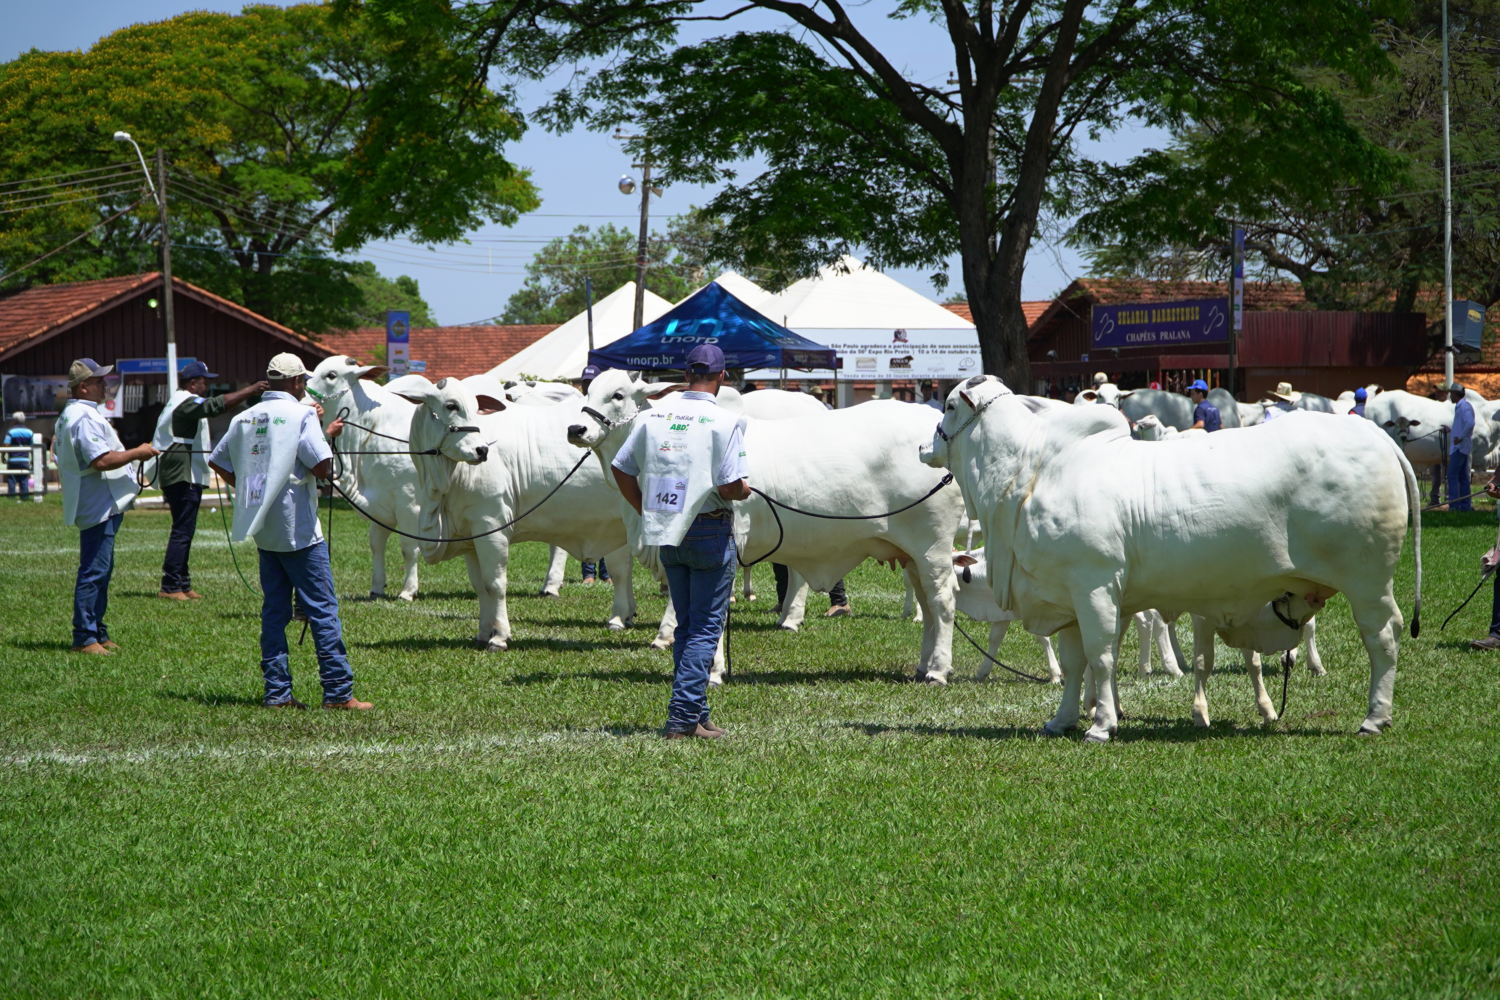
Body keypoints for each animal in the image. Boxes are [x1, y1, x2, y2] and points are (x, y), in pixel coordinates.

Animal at [304, 355, 423, 599]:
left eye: (331, 375)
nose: (303, 400)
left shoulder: (410, 503)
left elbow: (408, 548)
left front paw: (408, 590)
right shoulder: (378, 504)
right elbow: (376, 545)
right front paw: (377, 587)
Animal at [399, 374, 639, 650]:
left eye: (475, 408)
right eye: (451, 405)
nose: (482, 450)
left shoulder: (491, 525)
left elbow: (494, 584)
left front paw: (500, 636)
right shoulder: (471, 534)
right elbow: (480, 586)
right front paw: (484, 632)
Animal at [567, 371, 966, 683]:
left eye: (618, 394)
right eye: (587, 391)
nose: (575, 427)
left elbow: (710, 609)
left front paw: (712, 670)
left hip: (933, 548)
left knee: (943, 601)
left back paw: (938, 670)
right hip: (911, 555)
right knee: (928, 606)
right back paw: (923, 665)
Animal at [918, 374, 1422, 743]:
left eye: (948, 405)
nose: (925, 445)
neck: (1032, 472)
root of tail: (1376, 436)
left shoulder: (1095, 586)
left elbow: (1101, 658)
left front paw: (1102, 725)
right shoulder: (1066, 599)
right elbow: (1075, 664)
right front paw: (1062, 720)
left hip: (1368, 581)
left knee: (1383, 637)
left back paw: (1374, 717)